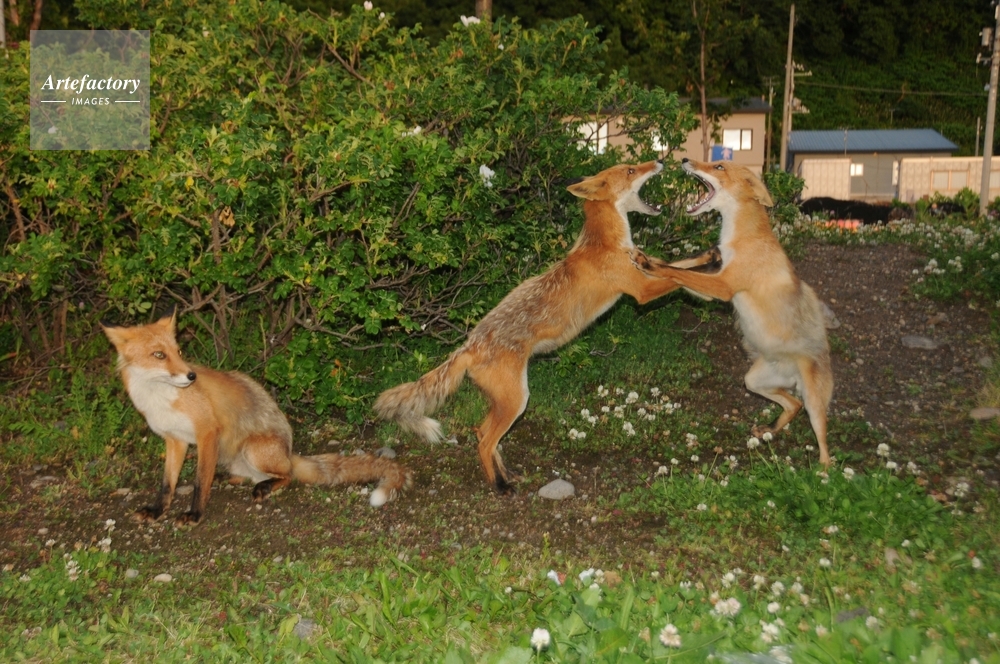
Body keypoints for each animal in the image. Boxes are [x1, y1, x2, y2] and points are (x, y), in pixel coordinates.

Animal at [102, 311, 412, 525]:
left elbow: (200, 482)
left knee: (287, 475)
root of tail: (289, 451)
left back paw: (265, 486)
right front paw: (156, 510)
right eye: (159, 355)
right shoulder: (175, 440)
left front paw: (194, 514)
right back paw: (232, 478)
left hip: (253, 449)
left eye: (178, 352)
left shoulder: (207, 432)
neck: (160, 399)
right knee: (247, 474)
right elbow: (167, 483)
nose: (191, 376)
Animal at [375, 160, 719, 491]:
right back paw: (500, 486)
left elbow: (677, 266)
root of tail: (469, 344)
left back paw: (506, 474)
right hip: (516, 400)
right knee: (485, 440)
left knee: (482, 432)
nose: (660, 160)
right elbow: (674, 276)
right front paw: (707, 283)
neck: (606, 243)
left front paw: (708, 259)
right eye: (632, 170)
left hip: (507, 402)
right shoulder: (641, 290)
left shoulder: (644, 270)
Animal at [637, 159, 834, 466]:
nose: (685, 160)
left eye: (718, 166)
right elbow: (679, 271)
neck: (740, 238)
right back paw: (770, 429)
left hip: (815, 403)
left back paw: (822, 473)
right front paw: (649, 260)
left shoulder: (724, 286)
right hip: (753, 381)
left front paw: (650, 265)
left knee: (823, 443)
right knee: (793, 403)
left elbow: (676, 272)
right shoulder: (714, 287)